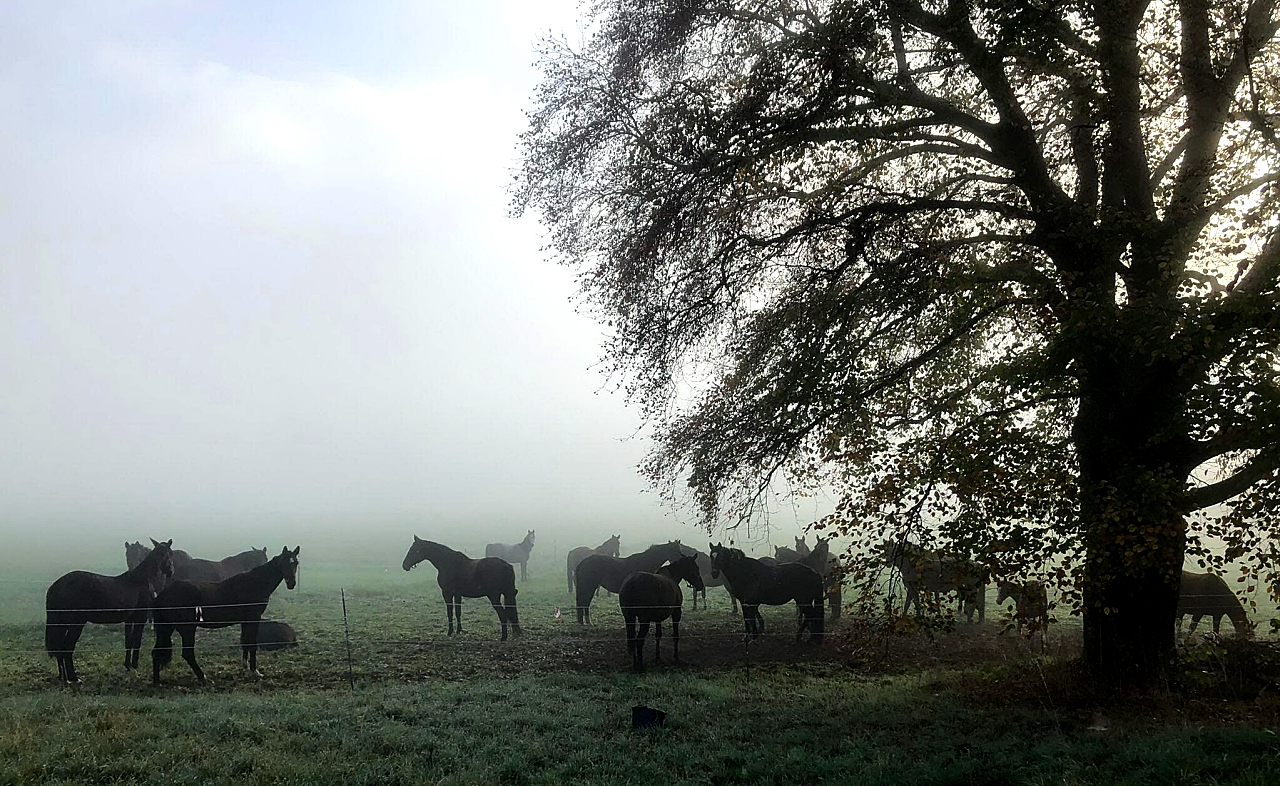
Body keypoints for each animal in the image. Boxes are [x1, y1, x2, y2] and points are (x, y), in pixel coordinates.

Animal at [46, 542, 175, 686]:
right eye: (167, 554)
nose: (171, 571)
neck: (141, 579)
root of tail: (56, 586)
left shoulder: (129, 619)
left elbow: (128, 642)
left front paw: (127, 665)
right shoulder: (140, 618)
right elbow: (136, 642)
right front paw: (134, 665)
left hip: (62, 624)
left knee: (60, 649)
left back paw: (63, 677)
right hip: (75, 624)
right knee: (67, 648)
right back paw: (73, 677)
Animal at [152, 545, 299, 686]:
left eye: (296, 563)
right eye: (285, 562)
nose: (291, 583)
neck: (253, 584)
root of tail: (163, 594)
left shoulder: (245, 621)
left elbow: (245, 642)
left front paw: (245, 666)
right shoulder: (253, 619)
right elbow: (252, 643)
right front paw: (255, 671)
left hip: (166, 628)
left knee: (156, 652)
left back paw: (157, 682)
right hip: (187, 629)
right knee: (187, 654)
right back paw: (203, 678)